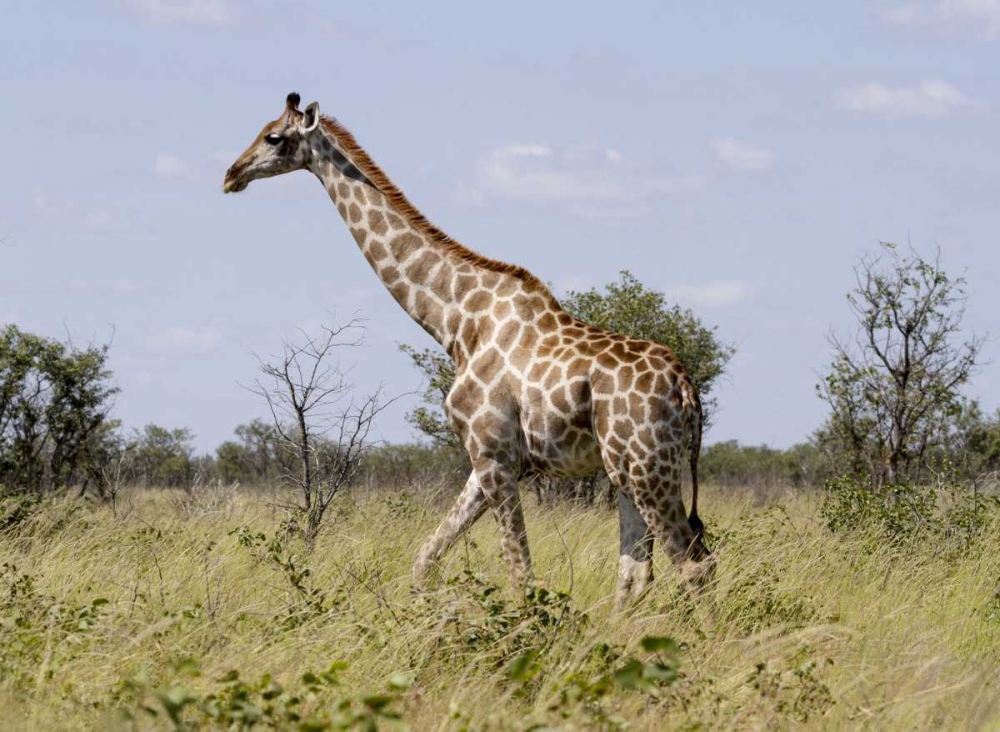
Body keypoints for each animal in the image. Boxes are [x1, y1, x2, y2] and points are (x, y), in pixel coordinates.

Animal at [223, 91, 716, 608]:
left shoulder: (494, 454)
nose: (231, 174)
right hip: (625, 470)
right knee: (637, 573)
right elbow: (425, 561)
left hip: (647, 466)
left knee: (694, 565)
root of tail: (686, 388)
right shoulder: (487, 461)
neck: (458, 323)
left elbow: (520, 575)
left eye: (273, 137)